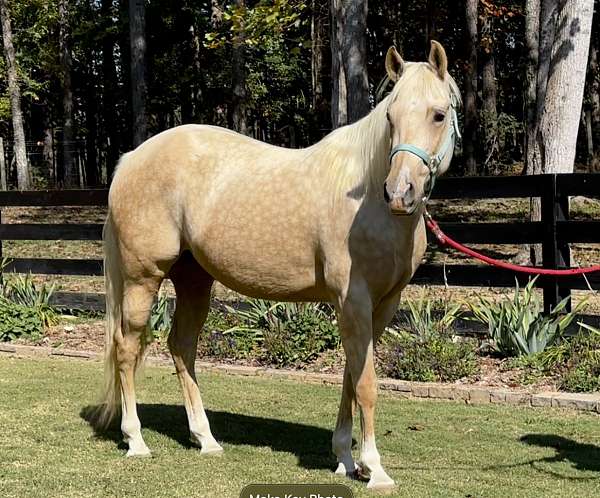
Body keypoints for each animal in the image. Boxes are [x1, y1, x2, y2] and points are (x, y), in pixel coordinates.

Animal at [101, 40, 462, 490]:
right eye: (390, 117)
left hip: (195, 280)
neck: (367, 203)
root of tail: (130, 159)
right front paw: (374, 468)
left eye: (438, 114)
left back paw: (206, 439)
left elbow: (351, 375)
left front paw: (346, 458)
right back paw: (135, 440)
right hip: (142, 278)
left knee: (181, 346)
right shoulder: (353, 301)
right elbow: (366, 383)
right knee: (127, 346)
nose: (400, 193)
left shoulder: (382, 306)